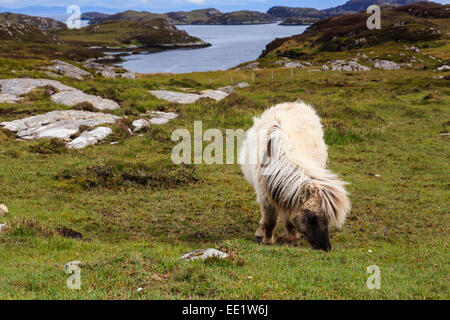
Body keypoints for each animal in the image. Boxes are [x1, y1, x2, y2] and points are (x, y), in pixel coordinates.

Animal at [239, 102, 352, 252]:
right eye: (311, 216)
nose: (326, 248)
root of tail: (294, 103)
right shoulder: (265, 197)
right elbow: (270, 221)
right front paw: (267, 240)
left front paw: (291, 237)